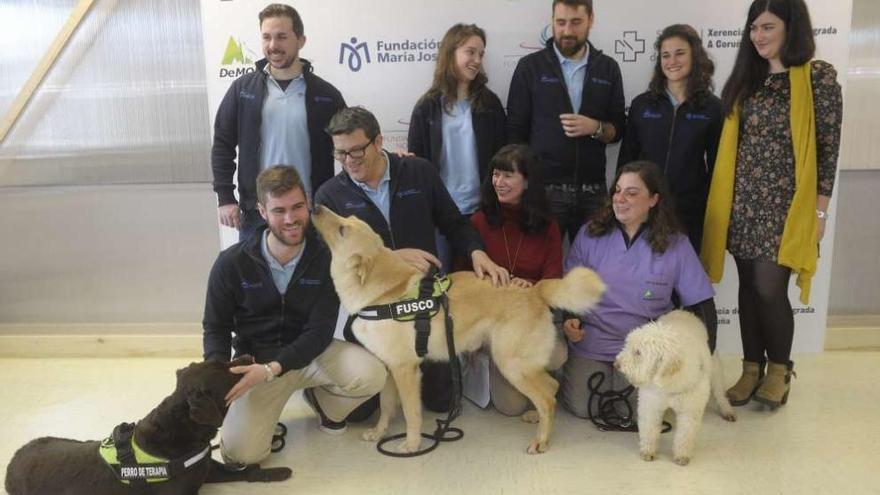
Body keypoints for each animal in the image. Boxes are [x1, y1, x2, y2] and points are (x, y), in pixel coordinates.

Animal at [310, 206, 604, 458]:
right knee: (551, 387)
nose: (315, 206)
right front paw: (379, 433)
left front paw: (412, 445)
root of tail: (535, 289)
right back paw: (536, 419)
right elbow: (385, 407)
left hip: (512, 365)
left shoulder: (406, 371)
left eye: (342, 229)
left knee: (547, 398)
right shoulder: (389, 370)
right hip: (519, 365)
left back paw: (541, 440)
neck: (383, 295)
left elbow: (412, 413)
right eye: (347, 218)